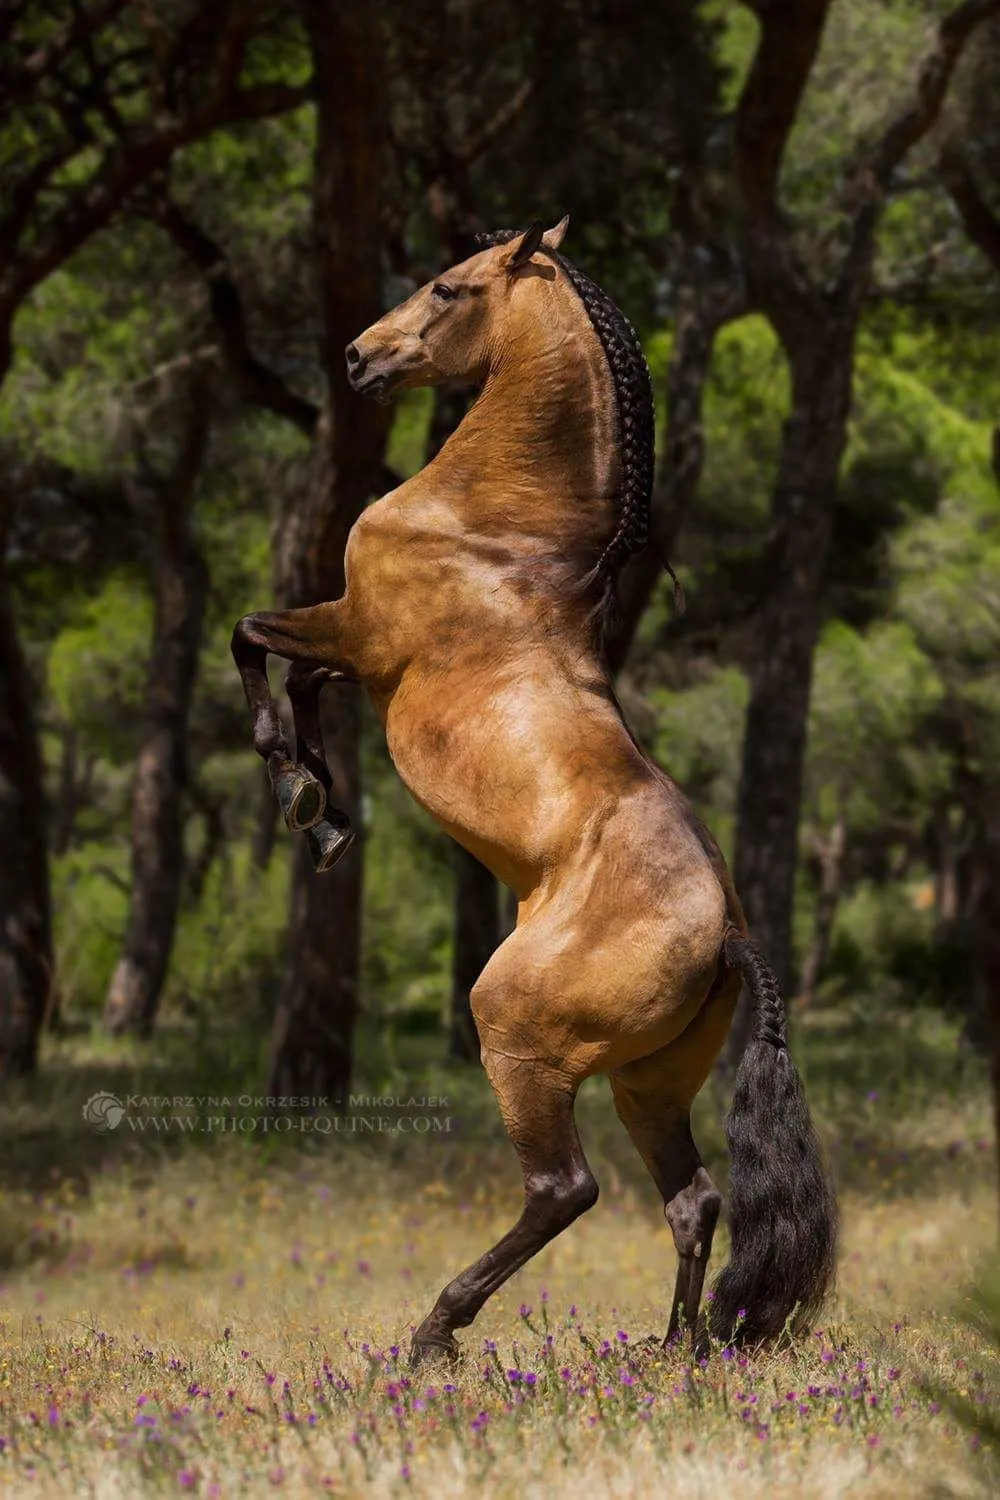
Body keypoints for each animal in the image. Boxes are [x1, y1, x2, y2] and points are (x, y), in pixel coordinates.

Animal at [232, 219, 839, 1362]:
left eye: (448, 286)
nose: (357, 358)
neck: (498, 530)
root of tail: (728, 936)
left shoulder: (358, 633)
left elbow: (253, 640)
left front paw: (298, 791)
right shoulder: (356, 658)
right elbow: (294, 679)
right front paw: (324, 811)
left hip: (521, 1044)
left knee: (566, 1189)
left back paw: (436, 1333)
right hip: (649, 1083)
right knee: (693, 1200)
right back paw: (672, 1353)